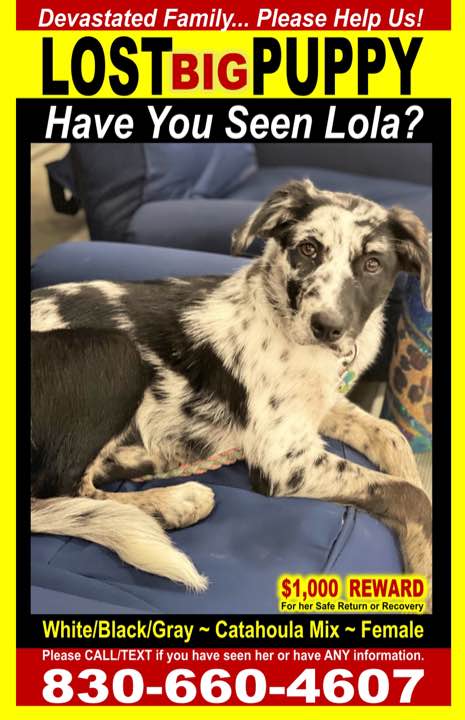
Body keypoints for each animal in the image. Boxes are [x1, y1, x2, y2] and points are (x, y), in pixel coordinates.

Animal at [31, 179, 432, 593]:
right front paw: (425, 569)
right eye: (308, 249)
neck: (280, 315)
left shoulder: (319, 408)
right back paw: (175, 502)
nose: (327, 327)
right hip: (117, 354)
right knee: (56, 493)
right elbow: (411, 494)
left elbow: (392, 437)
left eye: (373, 264)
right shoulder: (283, 459)